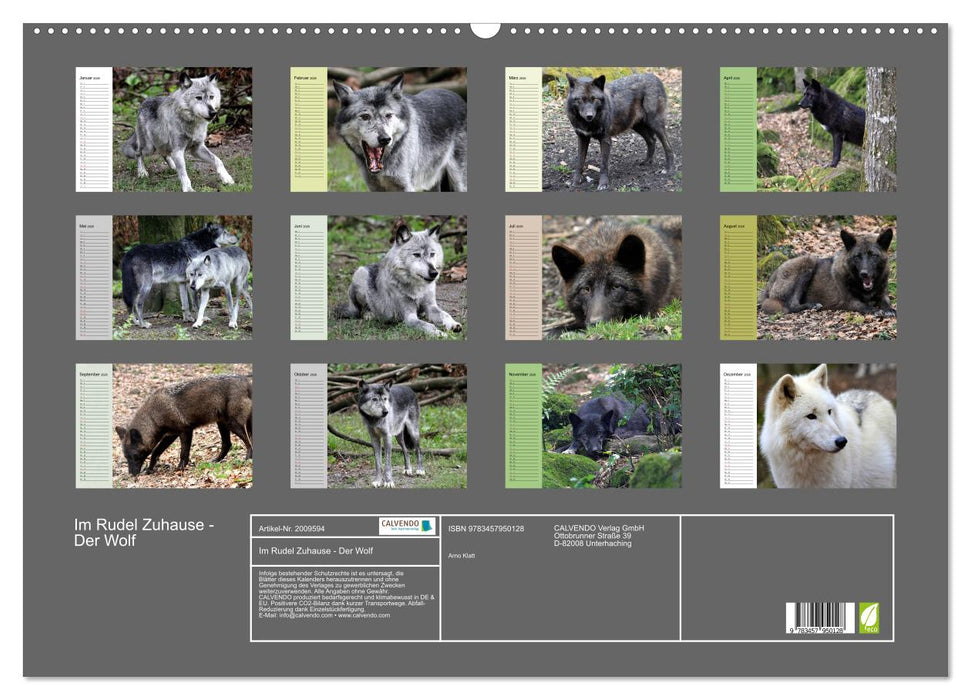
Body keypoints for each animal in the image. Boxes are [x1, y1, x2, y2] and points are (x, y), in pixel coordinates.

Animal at [114, 374, 253, 476]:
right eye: (126, 457)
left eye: (135, 456)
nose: (131, 474)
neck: (153, 416)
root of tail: (246, 382)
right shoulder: (170, 435)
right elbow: (155, 453)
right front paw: (149, 469)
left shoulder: (185, 431)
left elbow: (183, 453)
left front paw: (180, 468)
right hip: (222, 425)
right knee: (227, 444)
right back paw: (216, 461)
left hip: (233, 425)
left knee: (248, 442)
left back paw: (247, 459)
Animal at [333, 75, 467, 192]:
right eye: (365, 116)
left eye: (388, 115)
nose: (385, 139)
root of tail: (459, 98)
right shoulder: (375, 188)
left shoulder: (406, 186)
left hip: (459, 182)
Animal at [333, 222, 461, 338]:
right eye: (417, 255)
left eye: (432, 254)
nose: (434, 273)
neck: (417, 287)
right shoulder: (409, 317)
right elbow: (428, 325)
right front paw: (441, 334)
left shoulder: (431, 306)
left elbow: (445, 314)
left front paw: (454, 325)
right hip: (361, 275)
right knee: (360, 310)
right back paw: (369, 315)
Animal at [759, 229, 895, 316]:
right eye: (857, 256)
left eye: (873, 255)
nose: (864, 273)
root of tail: (771, 280)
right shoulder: (850, 301)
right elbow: (864, 306)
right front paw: (875, 310)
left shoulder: (883, 294)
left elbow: (886, 302)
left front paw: (889, 310)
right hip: (808, 261)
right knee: (792, 305)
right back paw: (812, 305)